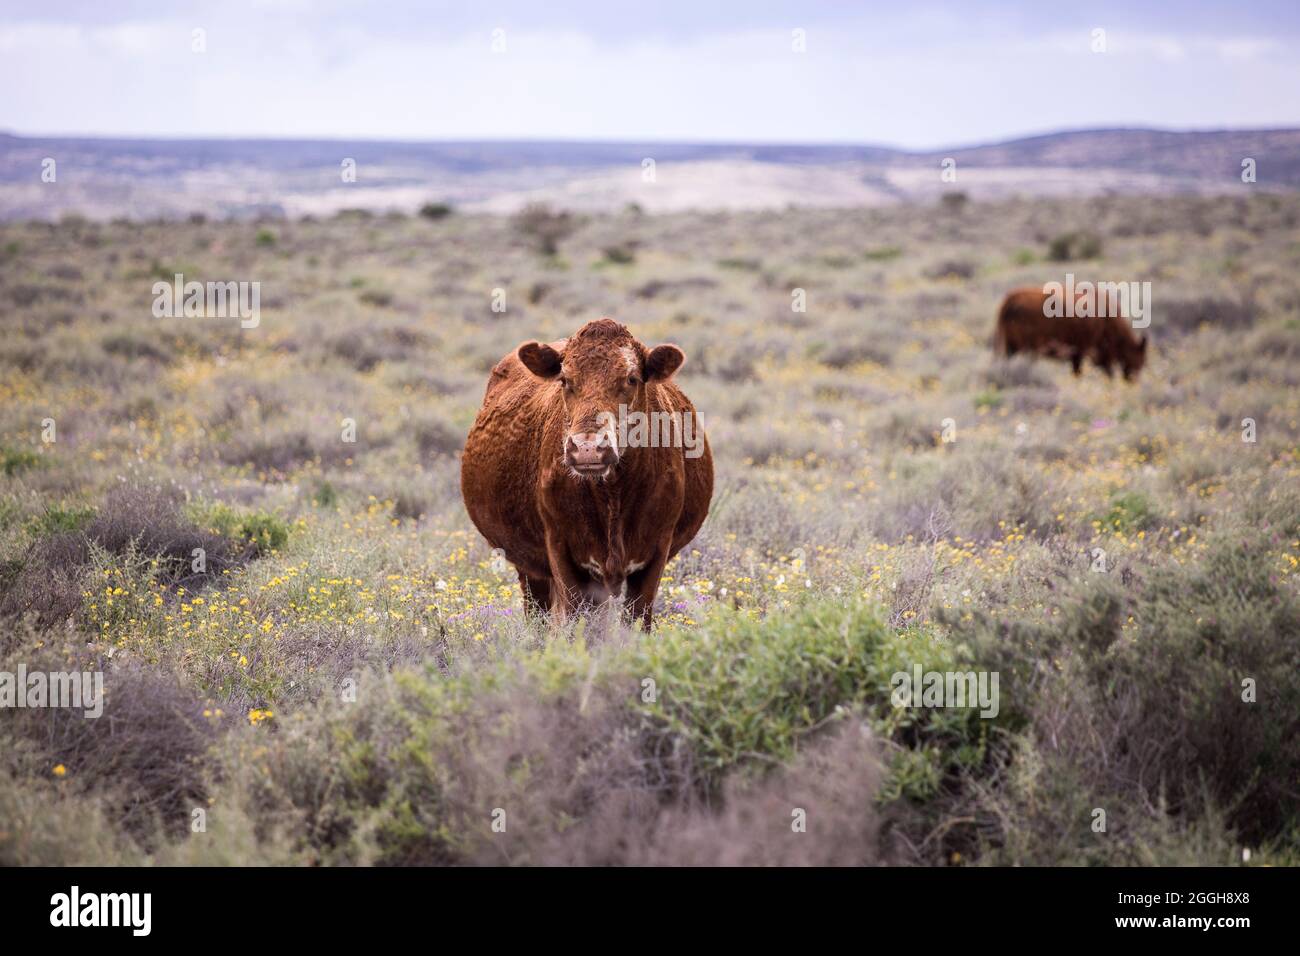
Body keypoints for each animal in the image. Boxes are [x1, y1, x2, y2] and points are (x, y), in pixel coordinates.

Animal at [461, 318, 713, 629]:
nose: (587, 448)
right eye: (565, 380)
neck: (613, 497)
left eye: (631, 378)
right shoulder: (561, 550)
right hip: (530, 568)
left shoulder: (656, 550)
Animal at [995, 285, 1148, 380]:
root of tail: (1011, 299)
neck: (1105, 317)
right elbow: (1078, 372)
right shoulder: (1080, 351)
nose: (1133, 381)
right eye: (1139, 360)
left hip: (1012, 347)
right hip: (1024, 348)